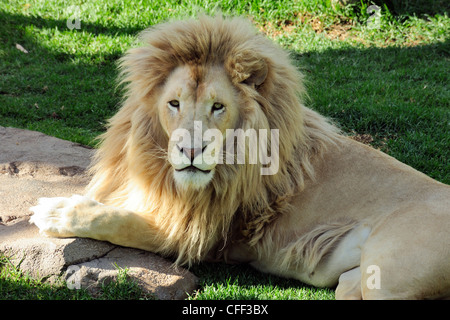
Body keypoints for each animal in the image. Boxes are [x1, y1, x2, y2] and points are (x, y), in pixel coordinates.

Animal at [29, 15, 448, 300]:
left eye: (218, 107)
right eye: (174, 104)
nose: (192, 151)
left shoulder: (205, 235)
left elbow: (123, 222)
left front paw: (56, 211)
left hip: (388, 272)